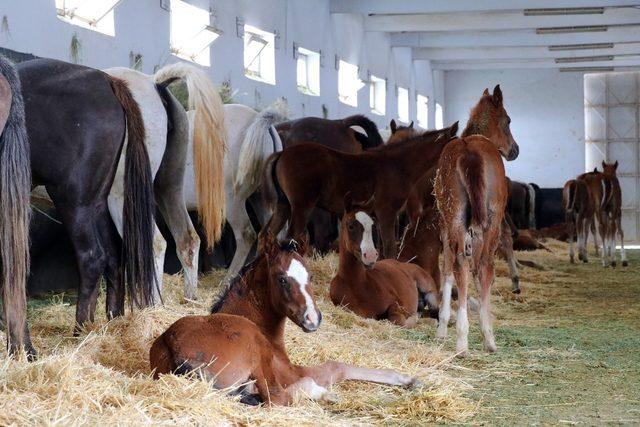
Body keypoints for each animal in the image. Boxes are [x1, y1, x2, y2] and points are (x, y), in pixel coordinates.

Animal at [149, 232, 420, 406]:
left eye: (311, 276)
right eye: (281, 279)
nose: (312, 319)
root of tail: (174, 349)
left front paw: (409, 379)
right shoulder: (288, 371)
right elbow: (337, 367)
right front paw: (408, 379)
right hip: (256, 352)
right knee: (276, 397)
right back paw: (324, 394)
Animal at [330, 197, 440, 328]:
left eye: (372, 226)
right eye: (351, 226)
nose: (371, 255)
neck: (355, 284)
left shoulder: (397, 303)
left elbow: (397, 319)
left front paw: (413, 319)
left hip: (429, 290)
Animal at [436, 84, 520, 358]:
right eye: (507, 120)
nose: (515, 150)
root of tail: (468, 152)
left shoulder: (445, 226)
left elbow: (448, 269)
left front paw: (443, 327)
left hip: (455, 217)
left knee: (461, 262)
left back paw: (461, 340)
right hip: (490, 221)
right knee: (484, 266)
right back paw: (486, 337)